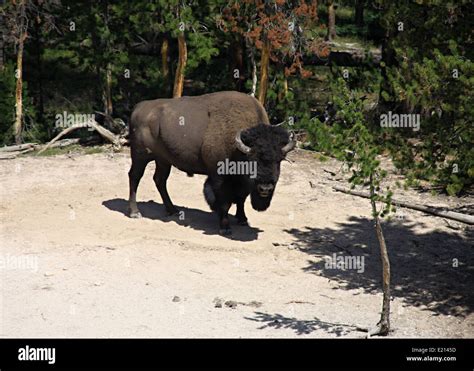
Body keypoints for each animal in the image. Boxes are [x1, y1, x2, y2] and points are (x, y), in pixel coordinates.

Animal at [128, 91, 294, 234]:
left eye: (279, 160)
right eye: (253, 159)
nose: (265, 188)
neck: (238, 149)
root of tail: (139, 107)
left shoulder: (243, 183)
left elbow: (241, 199)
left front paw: (242, 219)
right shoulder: (219, 176)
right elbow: (224, 201)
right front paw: (225, 227)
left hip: (163, 160)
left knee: (160, 180)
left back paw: (172, 210)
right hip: (140, 156)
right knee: (135, 177)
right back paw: (135, 212)